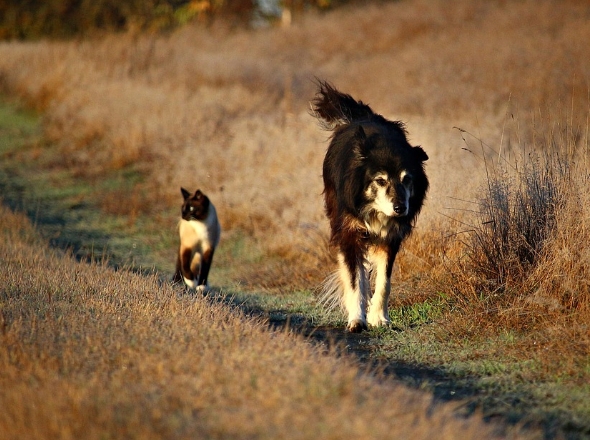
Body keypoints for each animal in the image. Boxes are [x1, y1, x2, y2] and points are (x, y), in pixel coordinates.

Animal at [312, 81, 432, 332]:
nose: (400, 208)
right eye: (381, 180)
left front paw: (380, 319)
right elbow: (354, 279)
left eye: (407, 179)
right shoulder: (349, 231)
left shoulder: (390, 238)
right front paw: (357, 320)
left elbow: (384, 281)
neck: (374, 211)